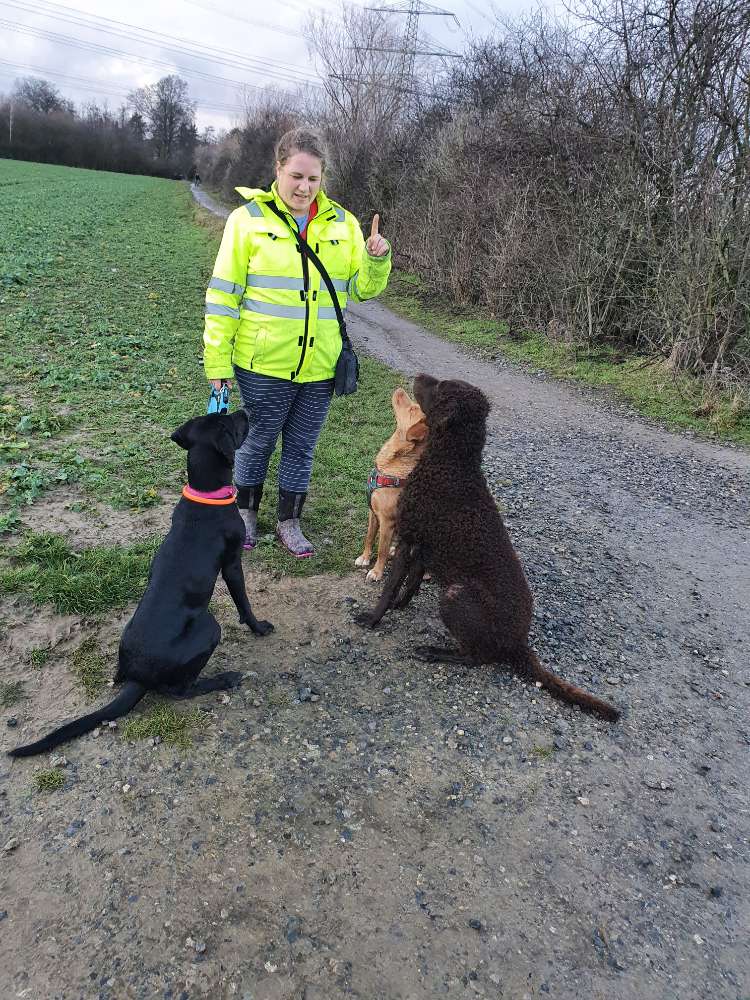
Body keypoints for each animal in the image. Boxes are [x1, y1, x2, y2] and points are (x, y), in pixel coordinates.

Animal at [9, 409, 274, 757]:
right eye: (228, 421)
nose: (246, 411)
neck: (205, 494)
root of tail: (138, 676)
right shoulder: (232, 563)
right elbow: (244, 601)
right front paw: (258, 627)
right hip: (209, 628)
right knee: (180, 690)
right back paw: (224, 679)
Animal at [354, 387, 428, 582]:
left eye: (413, 408)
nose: (400, 389)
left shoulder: (387, 522)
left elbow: (381, 550)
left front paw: (376, 572)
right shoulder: (372, 512)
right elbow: (369, 537)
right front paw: (365, 558)